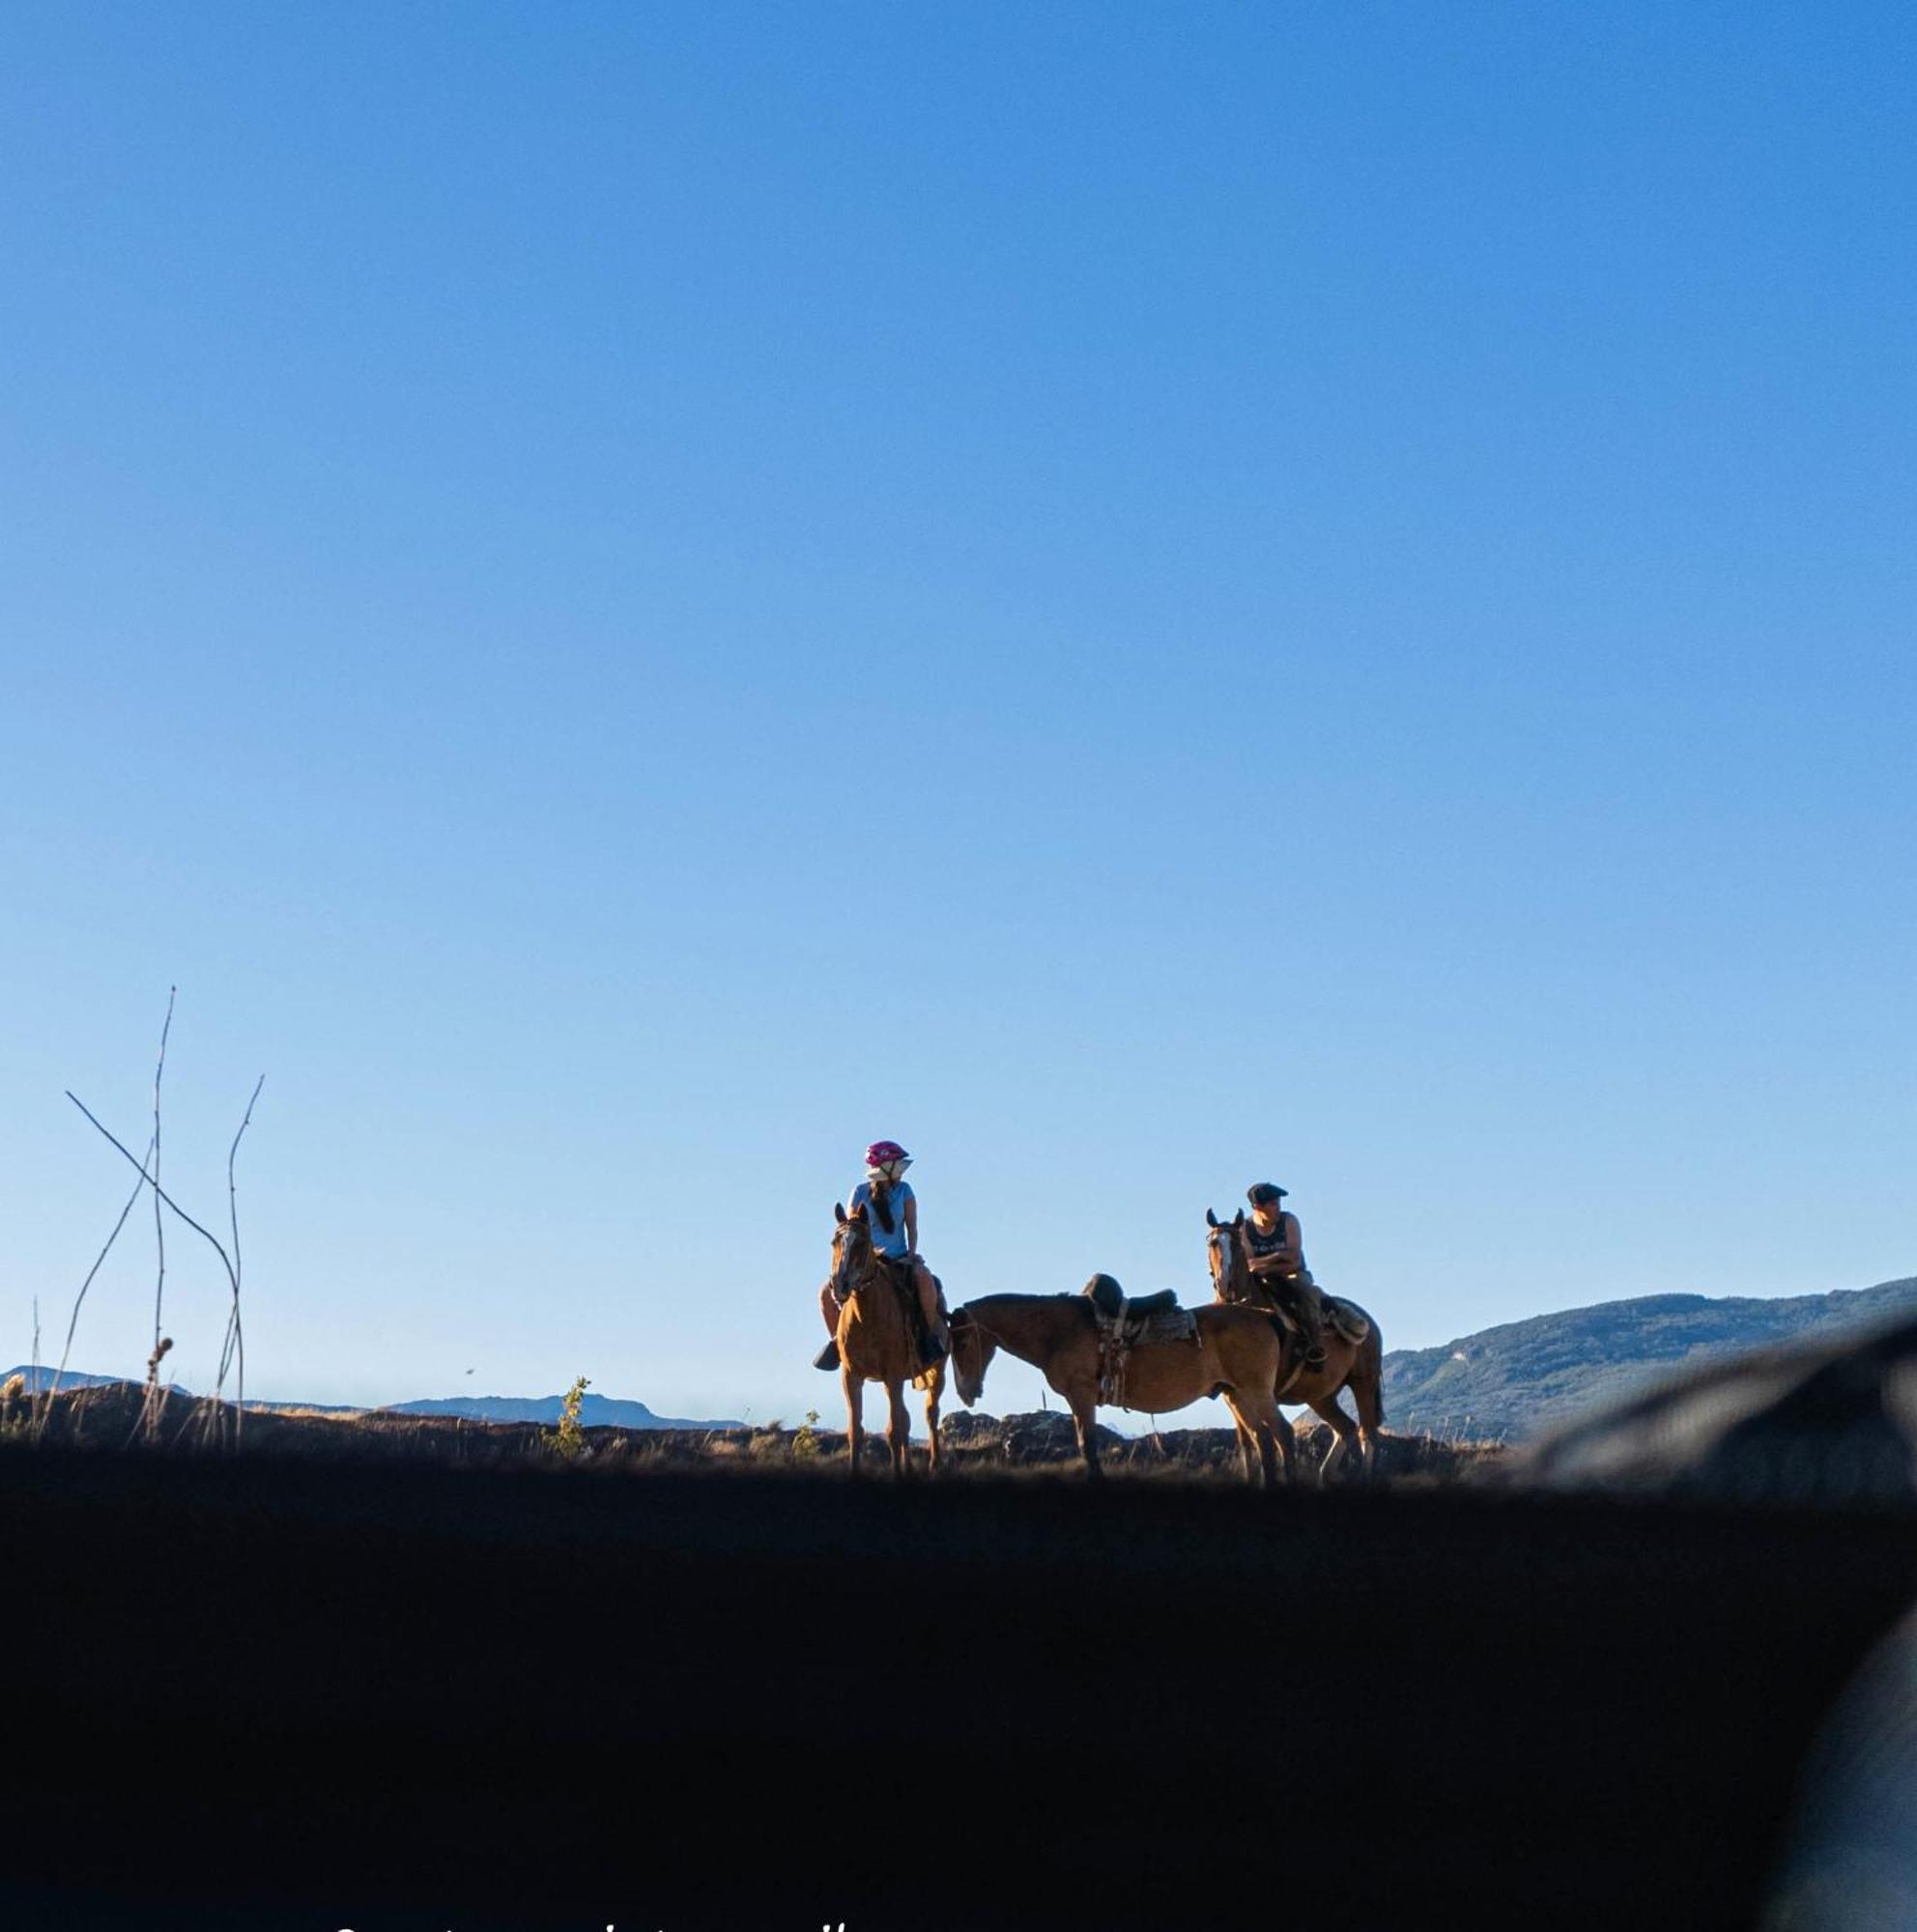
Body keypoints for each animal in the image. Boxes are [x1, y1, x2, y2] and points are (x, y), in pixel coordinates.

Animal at [823, 1206, 943, 1476]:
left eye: (862, 1242)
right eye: (834, 1241)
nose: (839, 1285)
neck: (866, 1316)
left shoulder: (893, 1375)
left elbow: (894, 1432)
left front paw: (897, 1473)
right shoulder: (852, 1376)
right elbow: (856, 1431)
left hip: (936, 1371)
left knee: (930, 1414)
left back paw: (935, 1464)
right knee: (906, 1419)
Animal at [947, 1291, 1306, 1484]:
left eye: (962, 1342)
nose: (966, 1393)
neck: (1058, 1332)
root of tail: (1265, 1316)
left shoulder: (1082, 1395)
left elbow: (1087, 1445)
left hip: (1255, 1390)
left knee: (1283, 1434)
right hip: (1237, 1394)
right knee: (1263, 1439)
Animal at [1206, 1206, 1384, 1476]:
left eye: (1236, 1243)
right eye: (1213, 1242)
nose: (1224, 1284)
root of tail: (1370, 1324)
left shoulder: (1261, 1391)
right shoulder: (1233, 1396)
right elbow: (1247, 1445)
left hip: (1364, 1382)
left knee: (1368, 1434)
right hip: (1321, 1396)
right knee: (1346, 1428)